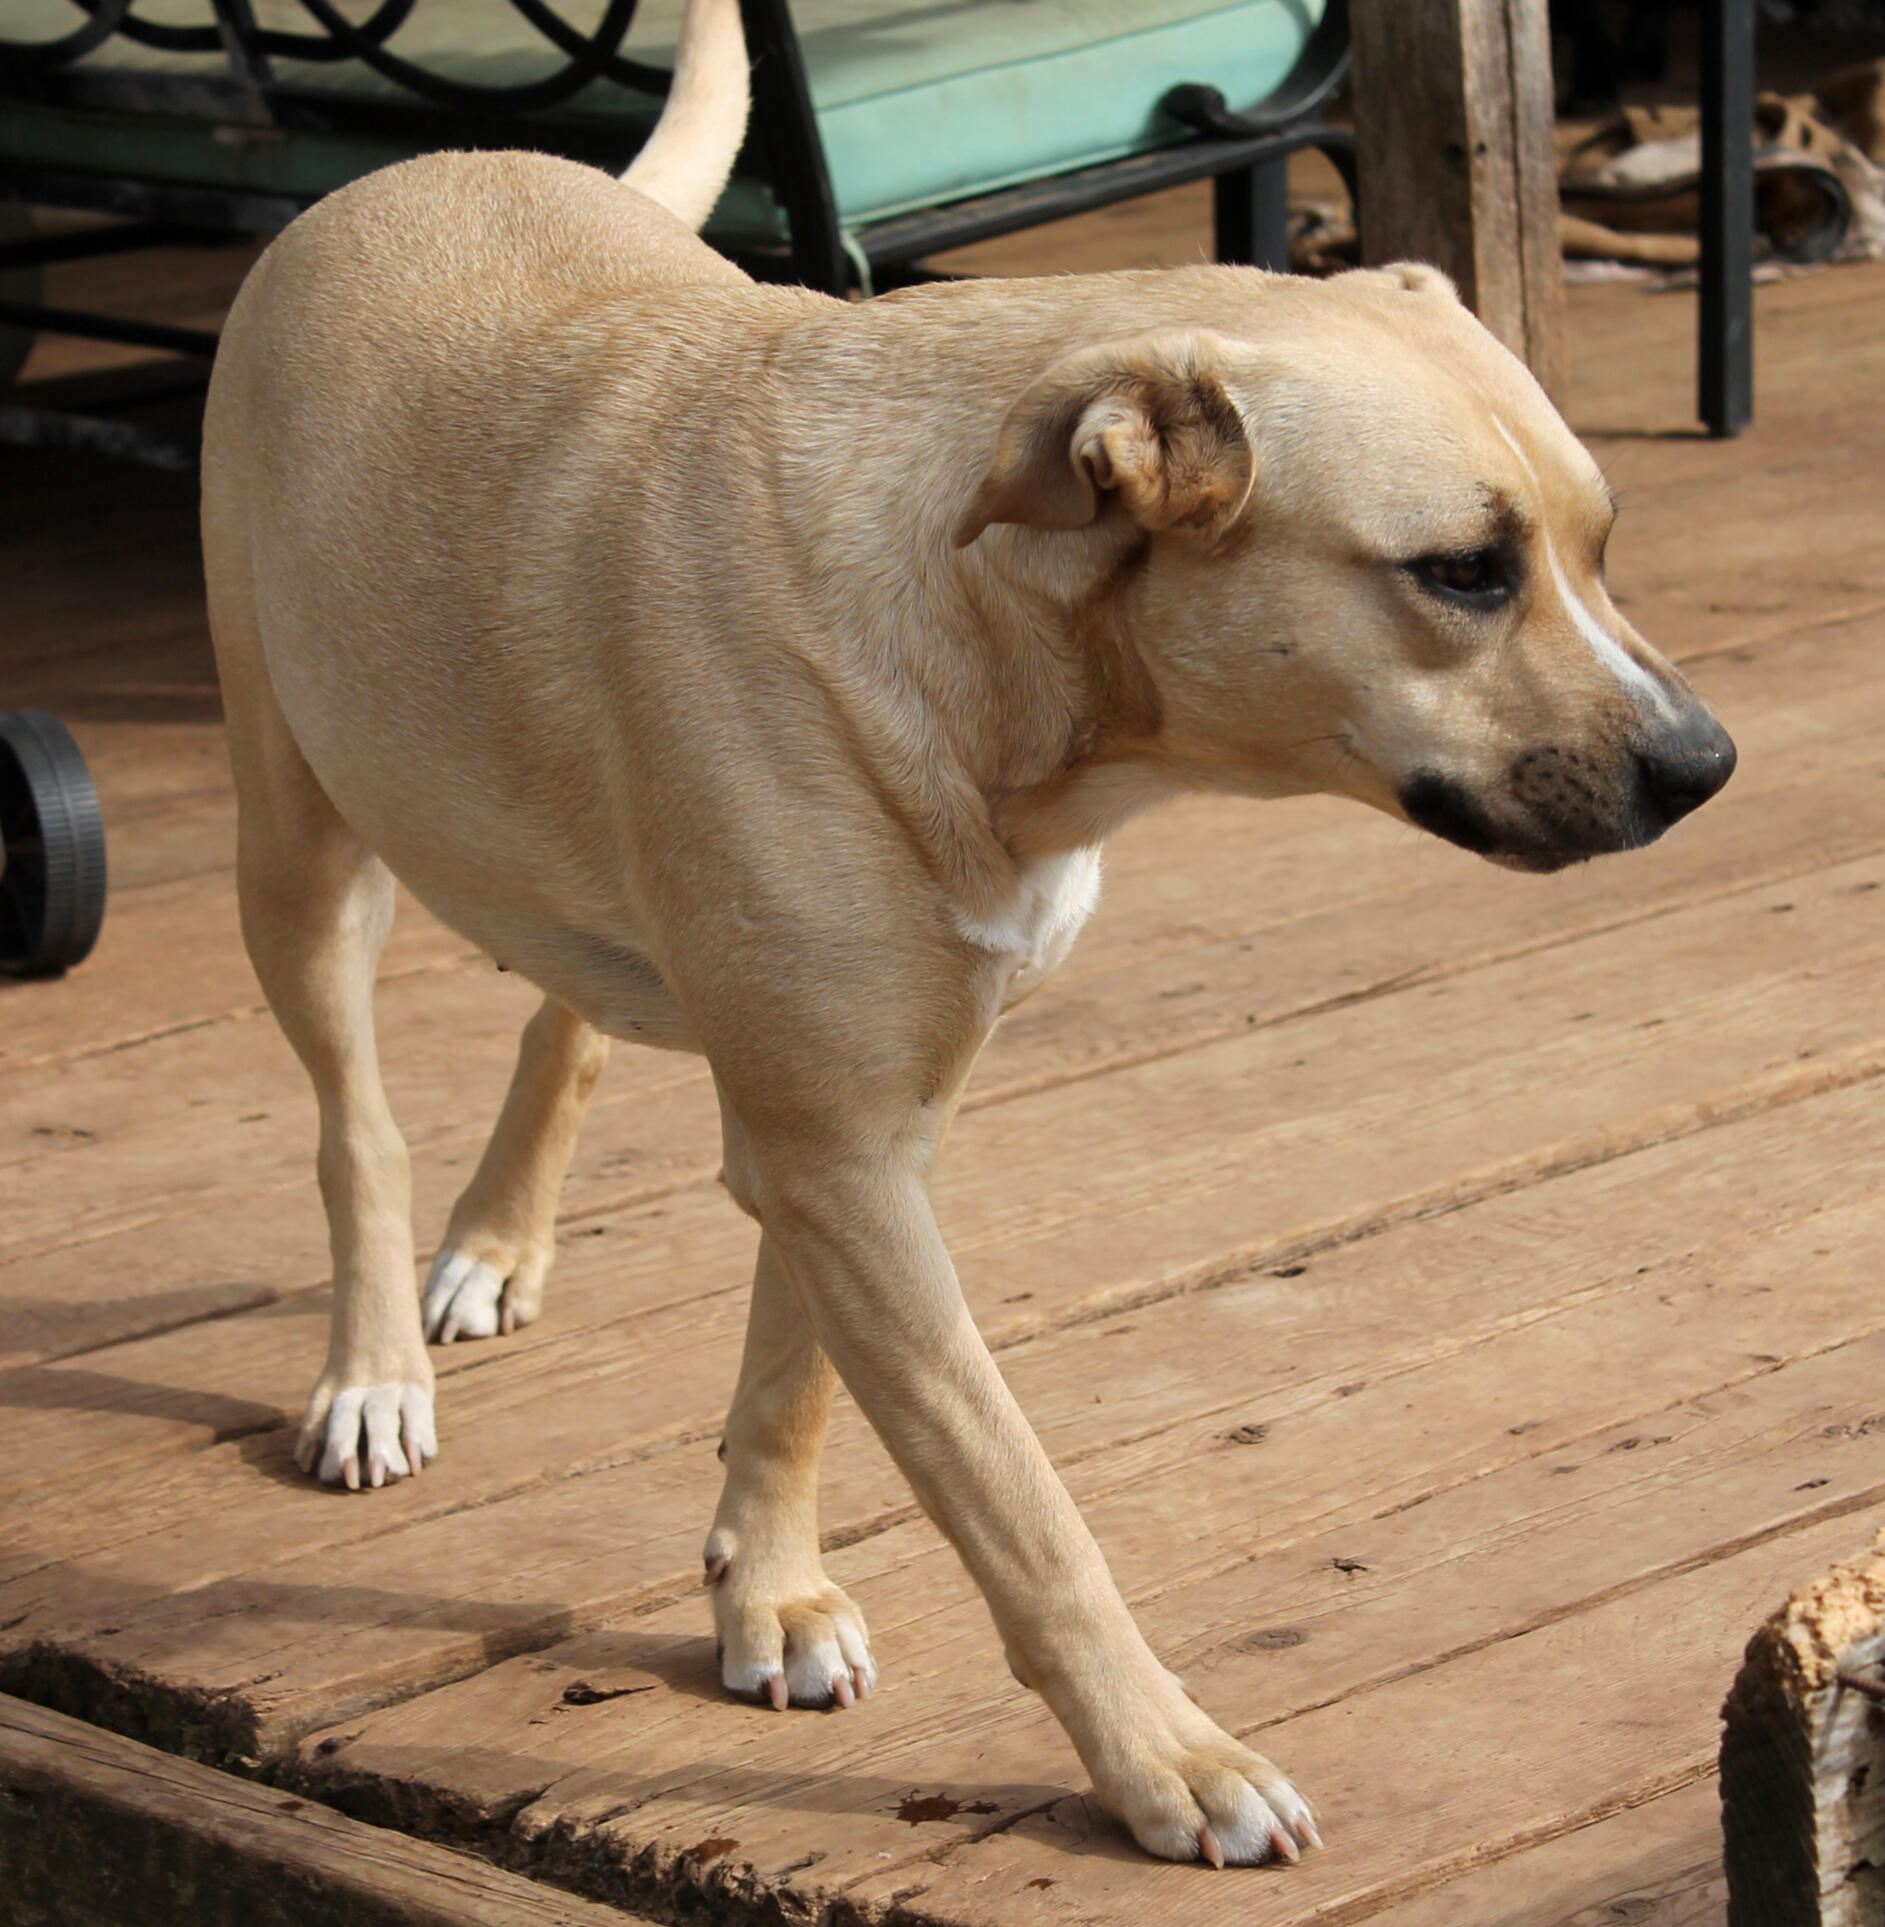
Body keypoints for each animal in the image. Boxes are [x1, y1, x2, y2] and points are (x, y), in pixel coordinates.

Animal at [200, 0, 1735, 1869]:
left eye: (1600, 543)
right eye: (1461, 572)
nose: (1708, 766)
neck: (1006, 649)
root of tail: (419, 168)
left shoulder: (860, 1132)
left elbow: (793, 1381)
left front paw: (767, 1593)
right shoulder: (841, 1158)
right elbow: (1014, 1493)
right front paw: (1168, 1758)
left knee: (568, 1013)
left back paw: (500, 1236)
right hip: (296, 844)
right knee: (355, 1122)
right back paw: (371, 1364)